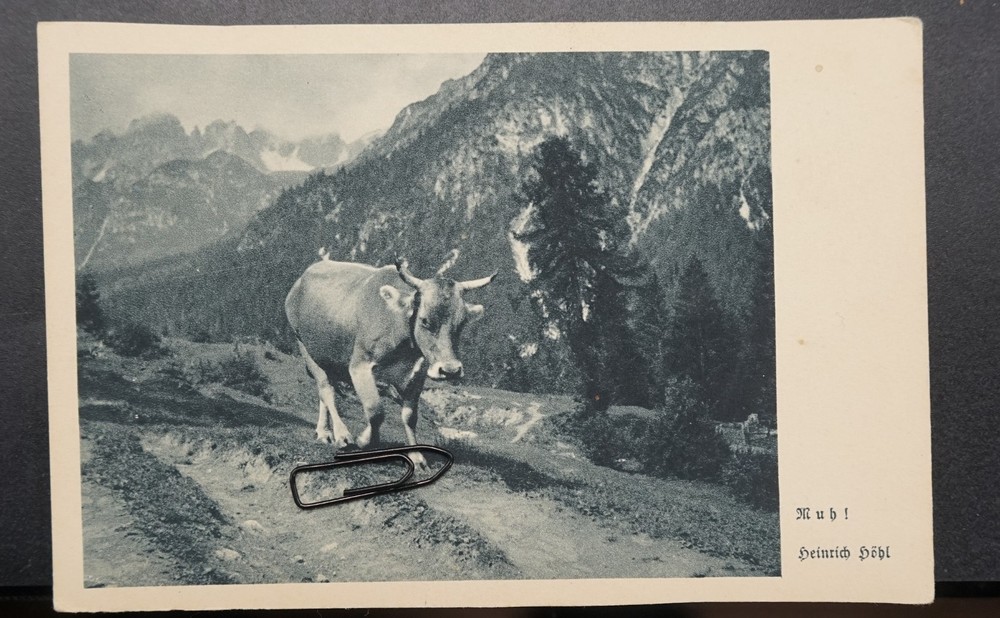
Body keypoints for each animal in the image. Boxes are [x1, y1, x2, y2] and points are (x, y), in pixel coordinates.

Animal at [285, 250, 494, 468]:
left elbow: (409, 417)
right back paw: (340, 434)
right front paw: (365, 441)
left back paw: (323, 431)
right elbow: (375, 410)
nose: (450, 370)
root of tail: (302, 278)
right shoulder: (360, 365)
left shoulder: (417, 374)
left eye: (461, 324)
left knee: (324, 391)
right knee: (326, 390)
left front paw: (416, 456)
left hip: (331, 357)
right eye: (425, 320)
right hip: (305, 346)